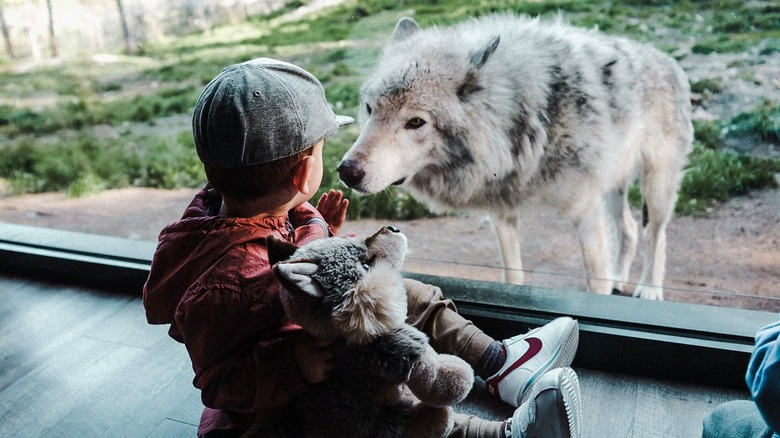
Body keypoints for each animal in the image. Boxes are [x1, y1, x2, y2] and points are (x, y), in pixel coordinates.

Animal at [338, 14, 692, 302]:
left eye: (415, 122)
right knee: (630, 230)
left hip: (655, 186)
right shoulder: (503, 212)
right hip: (613, 186)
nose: (347, 171)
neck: (522, 118)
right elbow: (513, 276)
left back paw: (649, 288)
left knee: (656, 234)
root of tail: (667, 59)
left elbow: (595, 283)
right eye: (369, 109)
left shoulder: (586, 211)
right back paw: (620, 280)